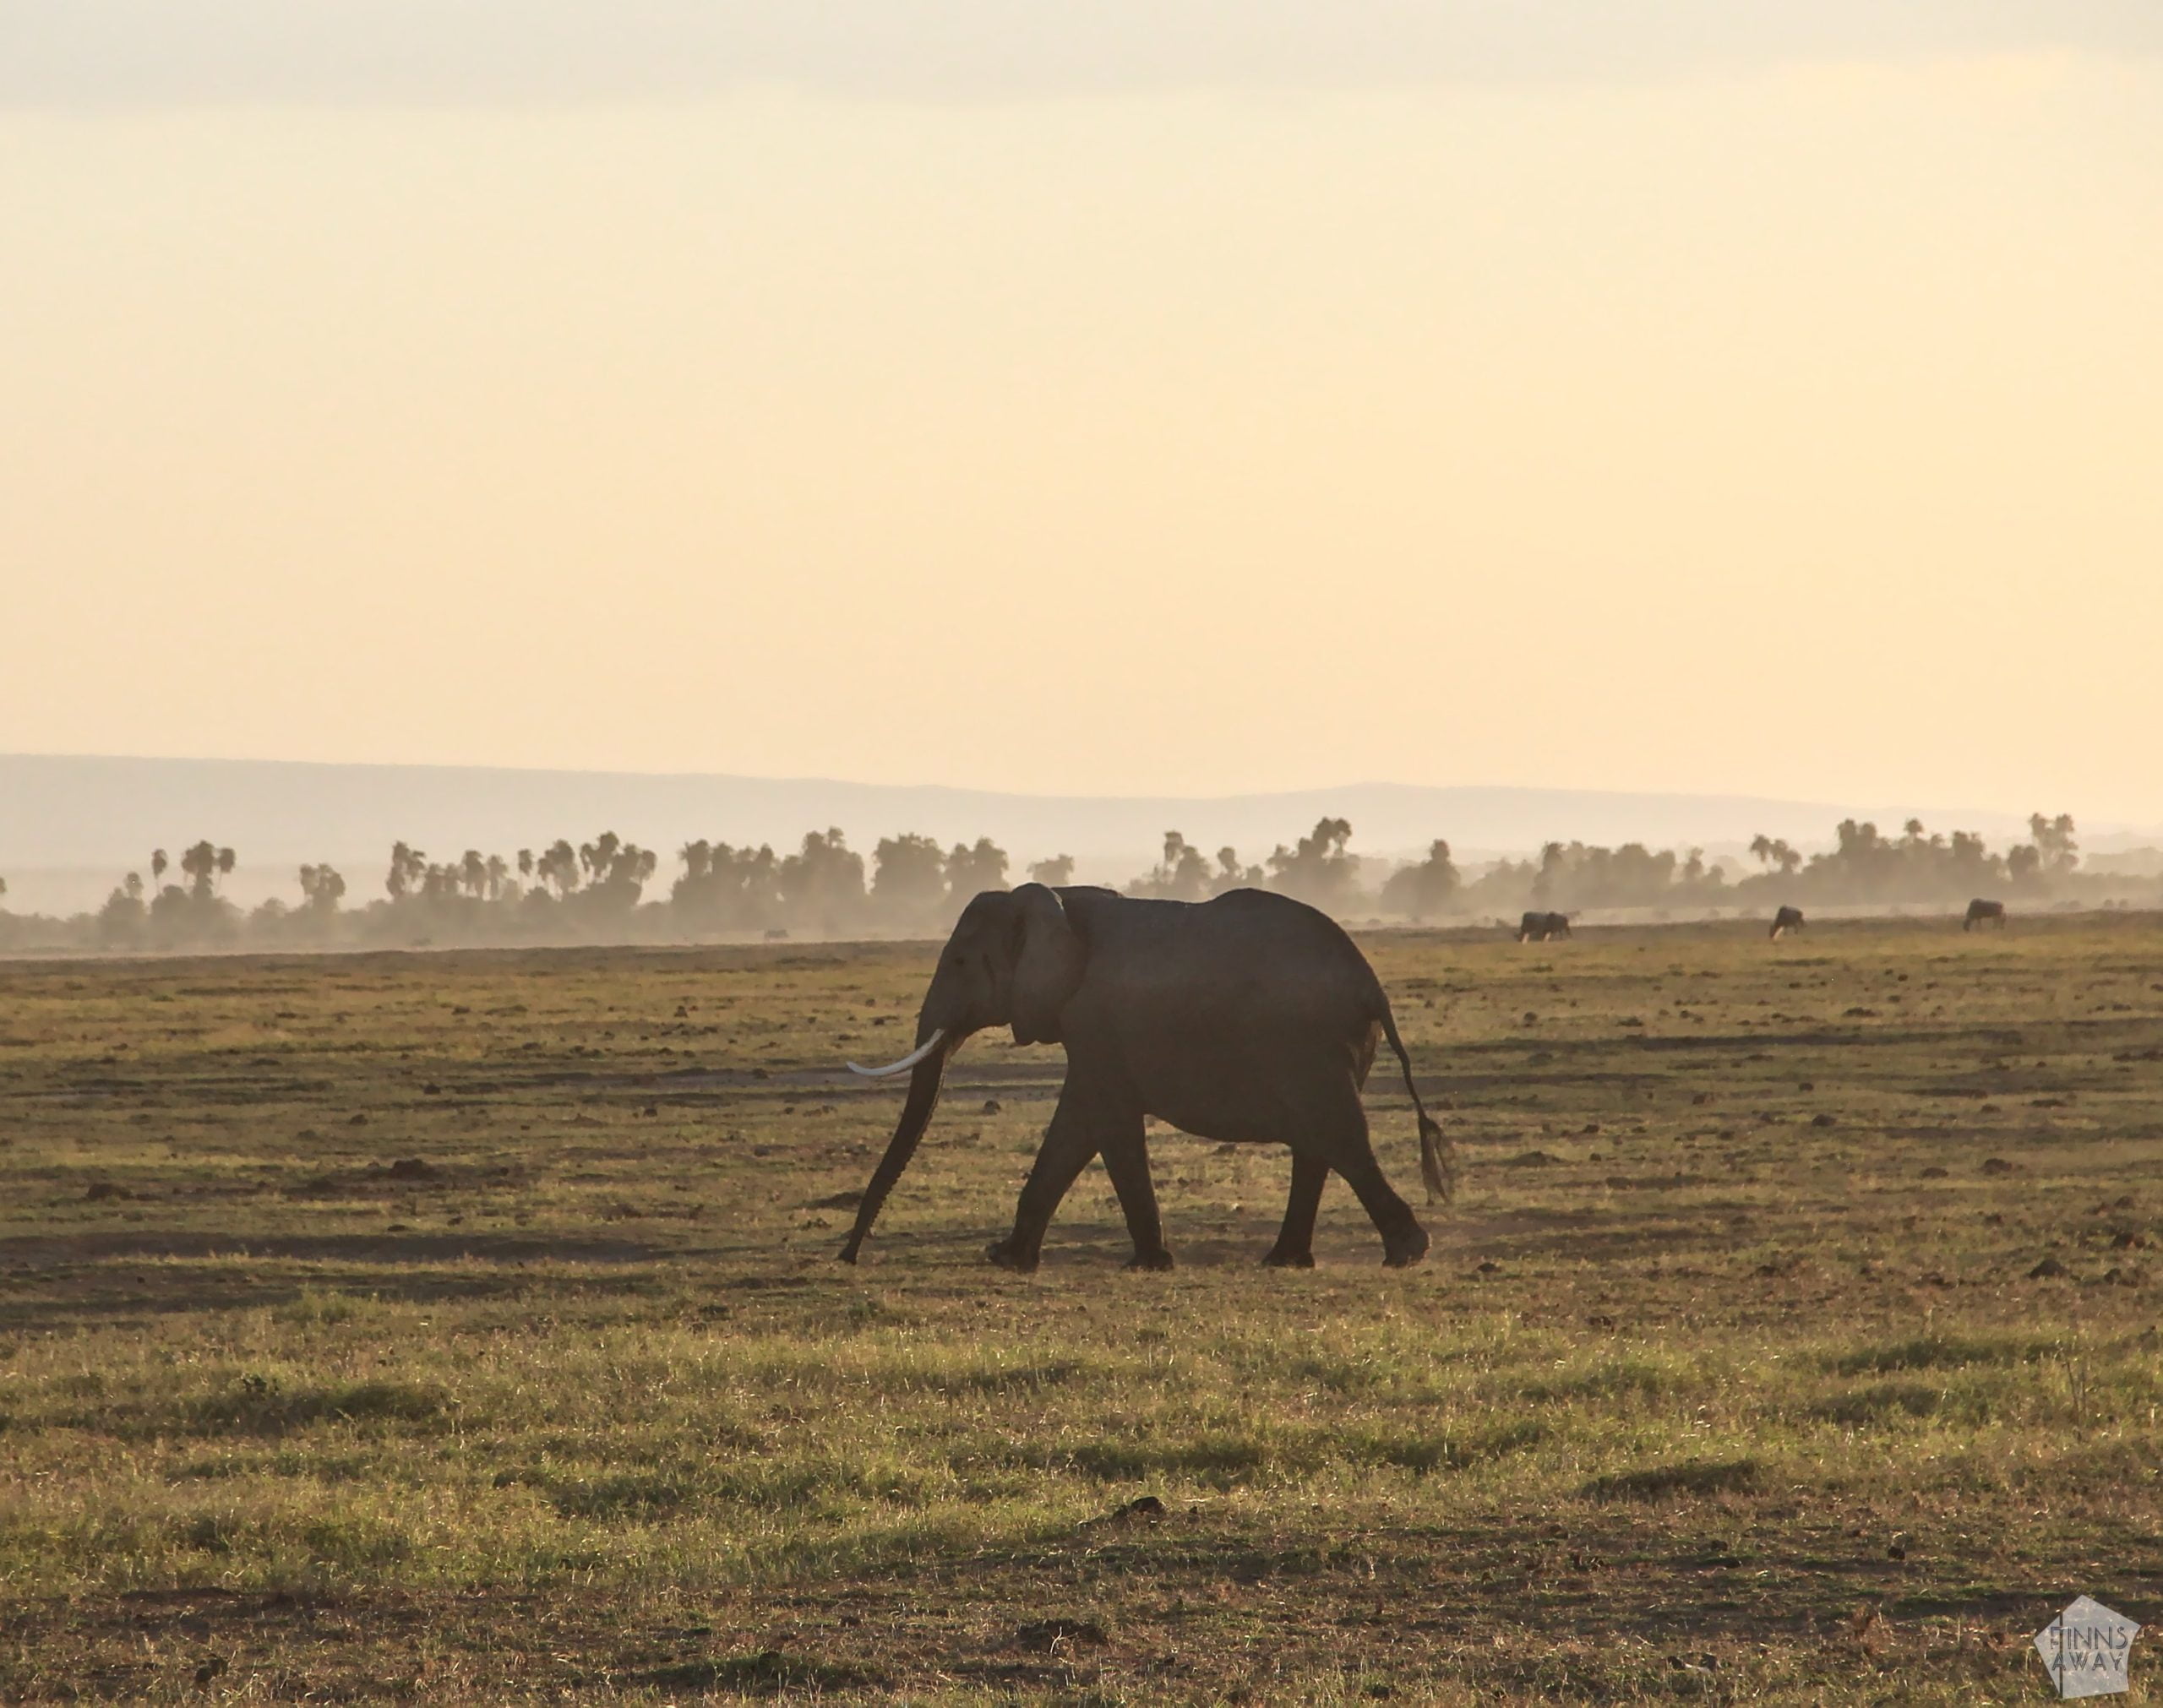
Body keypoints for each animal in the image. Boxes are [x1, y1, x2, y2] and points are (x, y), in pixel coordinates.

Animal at [837, 884, 1451, 1272]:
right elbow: (1076, 1128)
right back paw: (1287, 1261)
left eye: (961, 963)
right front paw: (1008, 1260)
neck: (1058, 901)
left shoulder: (1097, 1022)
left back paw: (1407, 1252)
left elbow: (1105, 1122)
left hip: (1312, 1046)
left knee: (1337, 1135)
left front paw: (1148, 1265)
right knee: (1318, 1142)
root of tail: (1372, 985)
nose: (847, 1257)